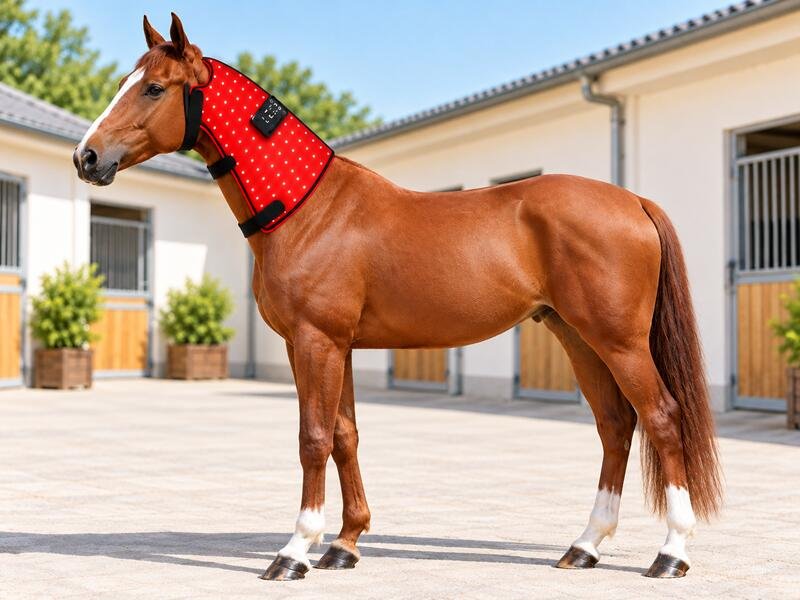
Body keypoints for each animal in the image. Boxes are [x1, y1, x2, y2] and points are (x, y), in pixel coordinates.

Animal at [72, 13, 722, 581]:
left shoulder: (315, 342)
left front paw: (295, 551)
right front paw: (344, 544)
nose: (87, 157)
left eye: (153, 88)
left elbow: (312, 439)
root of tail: (633, 200)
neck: (309, 209)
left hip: (619, 341)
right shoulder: (335, 347)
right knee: (615, 425)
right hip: (577, 336)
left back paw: (670, 554)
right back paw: (583, 547)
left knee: (661, 419)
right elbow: (344, 437)